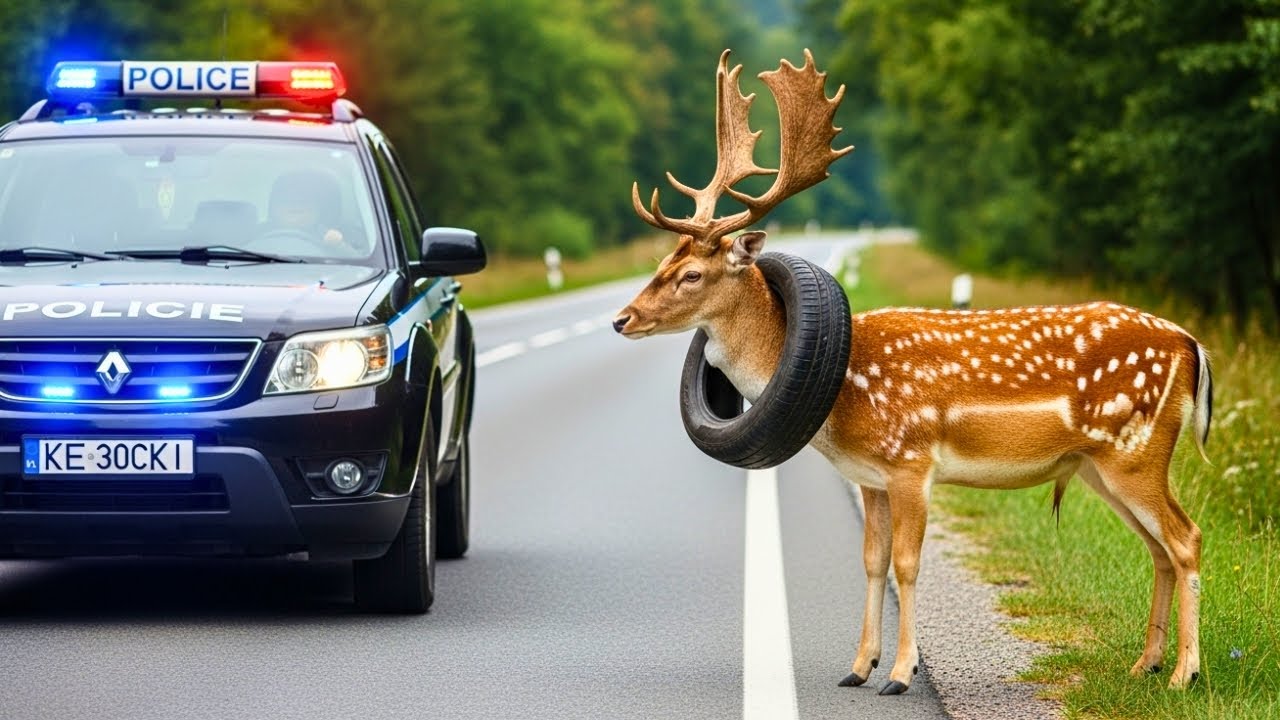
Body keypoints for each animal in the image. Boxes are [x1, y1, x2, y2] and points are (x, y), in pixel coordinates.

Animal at [612, 49, 1212, 694]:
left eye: (691, 274)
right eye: (660, 263)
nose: (622, 318)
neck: (844, 398)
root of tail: (1192, 345)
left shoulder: (910, 460)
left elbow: (906, 564)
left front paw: (900, 673)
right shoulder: (870, 476)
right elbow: (871, 561)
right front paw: (858, 667)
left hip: (1137, 450)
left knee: (1186, 537)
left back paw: (1184, 674)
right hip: (1101, 465)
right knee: (1158, 547)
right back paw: (1145, 663)